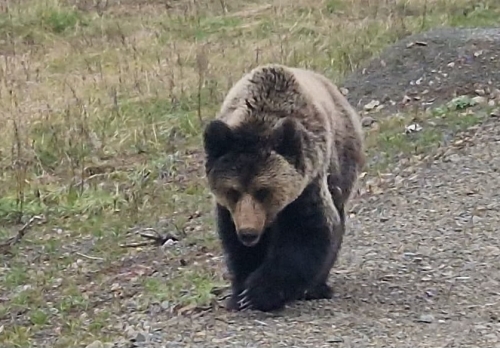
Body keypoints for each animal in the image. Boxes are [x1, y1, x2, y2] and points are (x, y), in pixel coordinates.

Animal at [202, 63, 364, 312]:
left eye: (263, 190)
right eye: (233, 191)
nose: (248, 232)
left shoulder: (308, 183)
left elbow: (307, 232)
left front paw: (259, 292)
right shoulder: (230, 210)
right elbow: (234, 243)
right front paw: (239, 293)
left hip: (342, 164)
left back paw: (316, 287)